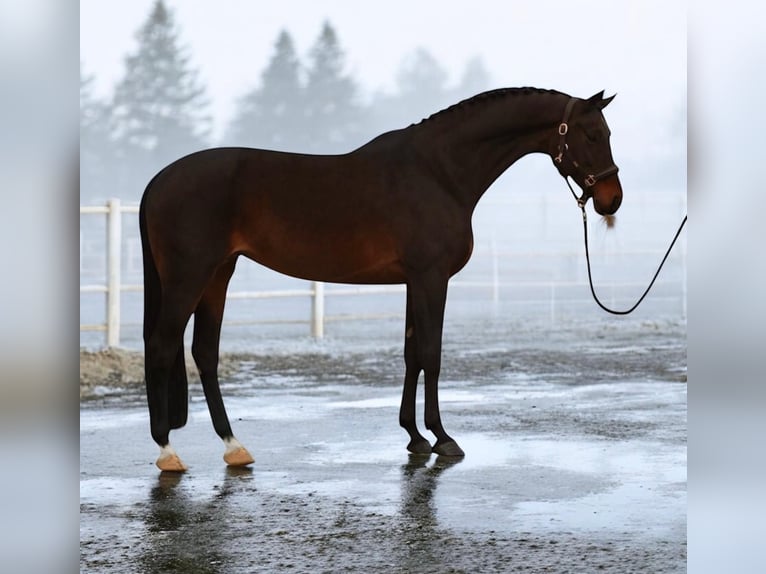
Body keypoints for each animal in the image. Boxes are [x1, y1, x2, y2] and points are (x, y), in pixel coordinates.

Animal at [139, 87, 622, 472]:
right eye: (592, 135)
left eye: (608, 134)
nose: (611, 199)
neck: (438, 173)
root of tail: (158, 181)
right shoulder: (431, 279)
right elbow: (431, 354)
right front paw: (443, 437)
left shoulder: (414, 282)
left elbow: (411, 354)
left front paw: (415, 436)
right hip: (190, 276)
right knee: (163, 346)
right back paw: (167, 452)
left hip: (218, 274)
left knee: (204, 352)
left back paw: (233, 446)